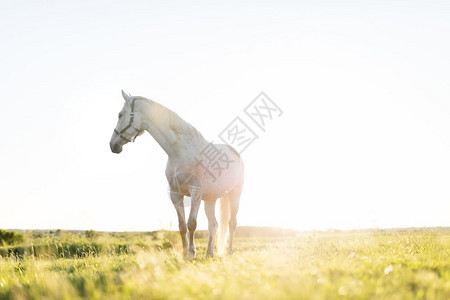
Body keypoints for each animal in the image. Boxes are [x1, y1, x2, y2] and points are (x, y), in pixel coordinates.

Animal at [109, 90, 244, 256]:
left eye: (120, 114)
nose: (113, 145)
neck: (180, 152)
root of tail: (235, 154)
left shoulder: (195, 192)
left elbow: (192, 223)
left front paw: (191, 253)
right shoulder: (176, 194)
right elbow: (182, 226)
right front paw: (185, 253)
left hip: (235, 195)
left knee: (232, 223)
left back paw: (229, 252)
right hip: (210, 199)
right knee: (213, 224)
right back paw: (209, 253)